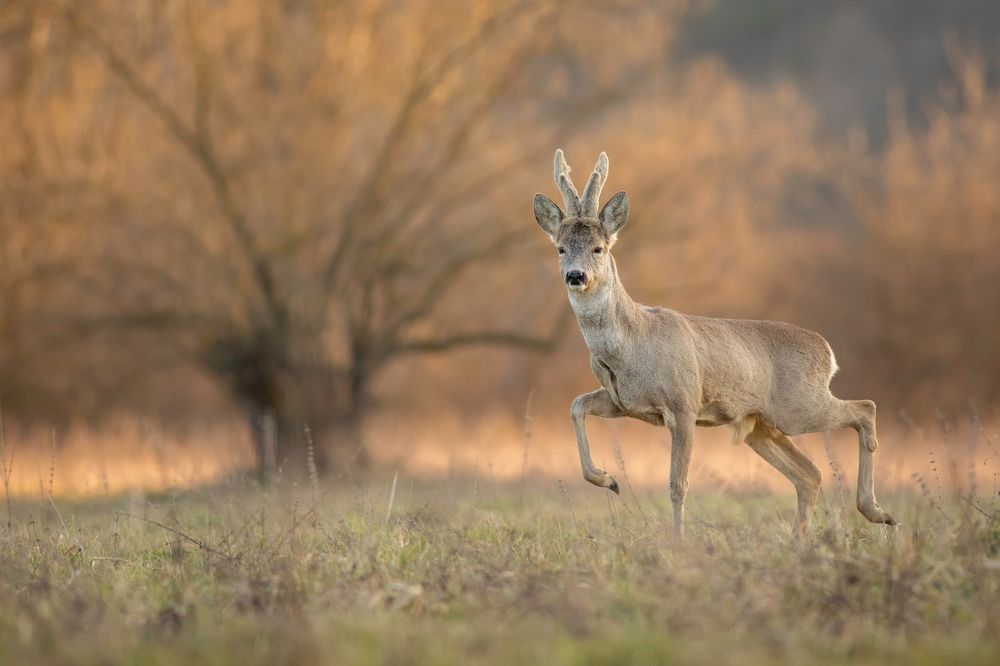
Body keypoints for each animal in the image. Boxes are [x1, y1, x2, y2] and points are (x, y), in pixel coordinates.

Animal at [533, 149, 897, 539]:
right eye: (560, 248)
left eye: (598, 248)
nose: (576, 275)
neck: (630, 346)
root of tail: (828, 352)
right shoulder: (622, 402)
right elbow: (576, 405)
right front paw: (609, 480)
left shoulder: (683, 403)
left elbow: (677, 484)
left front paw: (678, 542)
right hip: (760, 424)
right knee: (810, 474)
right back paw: (803, 539)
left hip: (798, 405)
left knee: (865, 409)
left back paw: (877, 512)